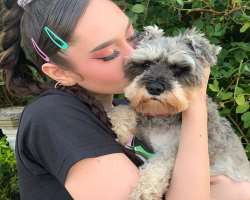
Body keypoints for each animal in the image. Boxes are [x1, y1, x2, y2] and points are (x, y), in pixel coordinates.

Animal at [108, 25, 250, 199]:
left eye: (178, 69)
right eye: (146, 64)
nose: (154, 88)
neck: (161, 117)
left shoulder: (172, 150)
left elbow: (158, 166)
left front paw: (143, 191)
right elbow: (126, 109)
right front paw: (121, 125)